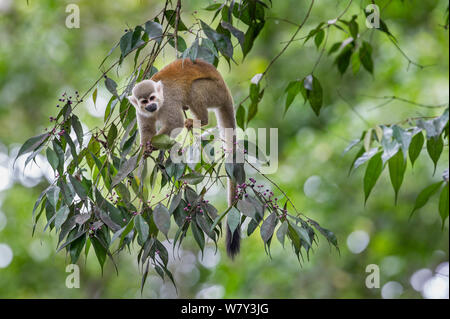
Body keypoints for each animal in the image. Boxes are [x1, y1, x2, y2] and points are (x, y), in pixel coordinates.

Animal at [127, 60, 239, 258]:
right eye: (144, 101)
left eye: (153, 98)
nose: (151, 106)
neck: (159, 105)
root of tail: (225, 89)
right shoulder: (140, 112)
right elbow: (147, 130)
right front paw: (145, 148)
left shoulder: (168, 103)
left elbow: (174, 124)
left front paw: (153, 145)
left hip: (215, 92)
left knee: (195, 88)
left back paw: (201, 120)